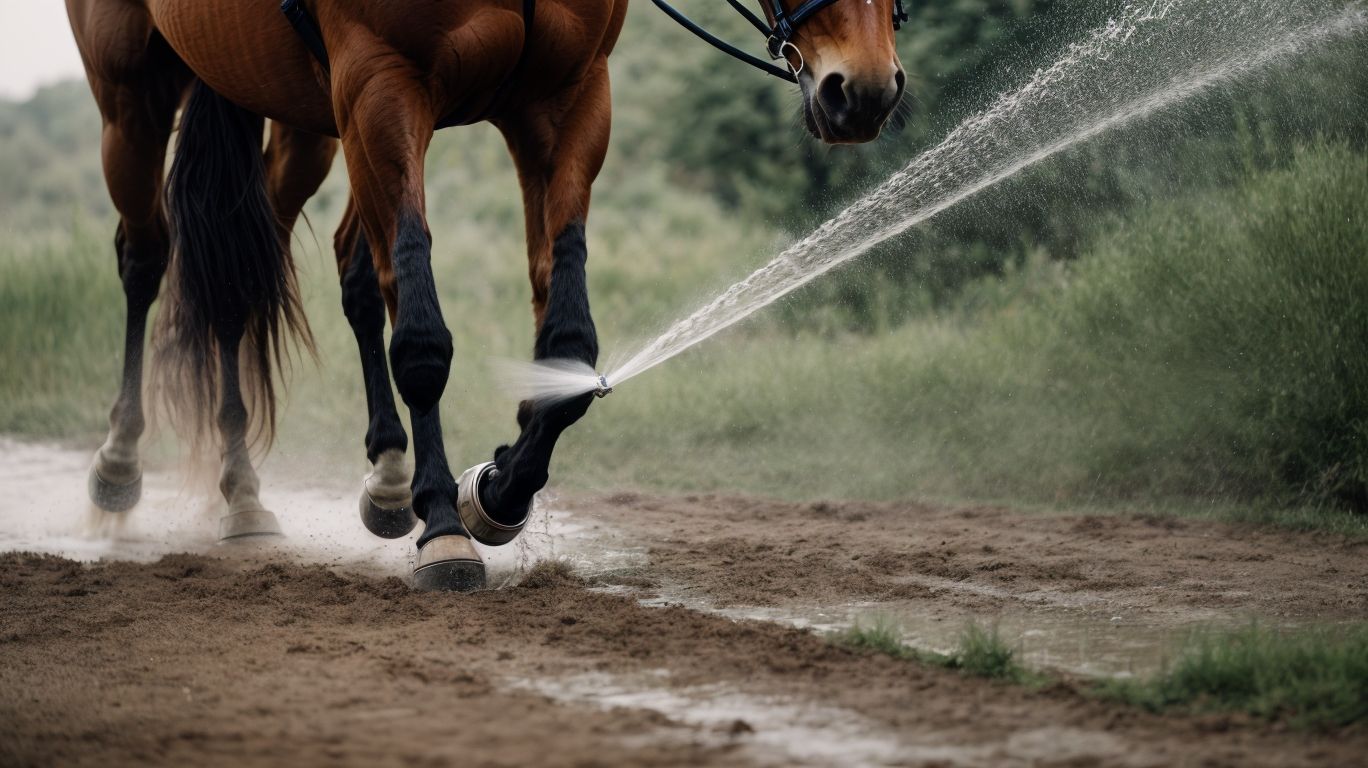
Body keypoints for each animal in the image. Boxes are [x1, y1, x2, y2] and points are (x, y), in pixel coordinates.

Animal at [67, 0, 905, 591]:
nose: (864, 89)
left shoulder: (564, 100)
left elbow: (567, 346)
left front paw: (497, 490)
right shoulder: (382, 86)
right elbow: (423, 340)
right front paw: (443, 521)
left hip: (304, 117)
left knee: (293, 266)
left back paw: (325, 482)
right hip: (134, 96)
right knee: (155, 260)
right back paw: (130, 465)